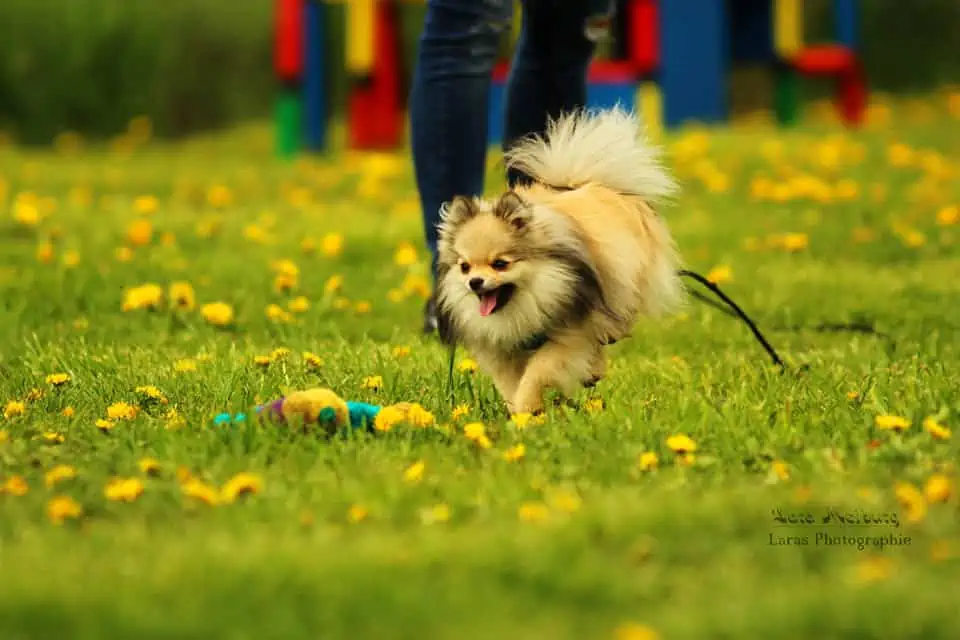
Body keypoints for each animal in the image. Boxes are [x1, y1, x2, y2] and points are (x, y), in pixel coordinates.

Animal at [436, 106, 684, 416]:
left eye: (500, 264)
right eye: (464, 266)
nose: (475, 282)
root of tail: (586, 184)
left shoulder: (570, 332)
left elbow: (538, 371)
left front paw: (527, 409)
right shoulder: (501, 350)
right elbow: (510, 382)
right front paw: (518, 409)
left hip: (620, 290)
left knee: (609, 328)